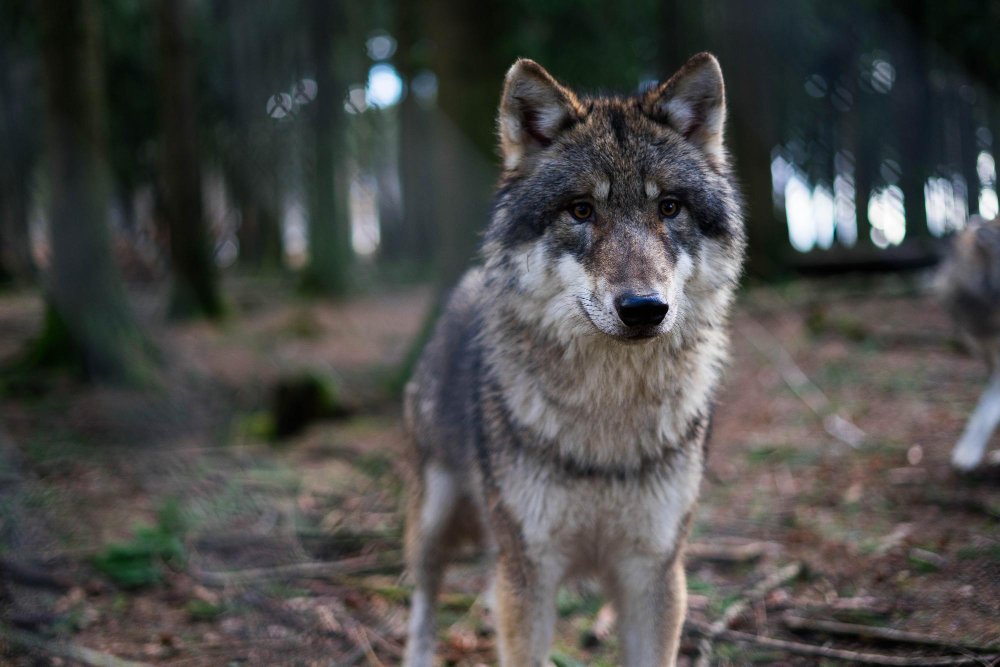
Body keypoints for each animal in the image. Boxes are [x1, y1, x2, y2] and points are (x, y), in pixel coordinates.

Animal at [402, 53, 748, 667]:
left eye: (669, 207)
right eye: (582, 210)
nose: (644, 308)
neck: (606, 421)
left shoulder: (653, 575)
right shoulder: (528, 574)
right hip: (433, 522)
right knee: (422, 597)